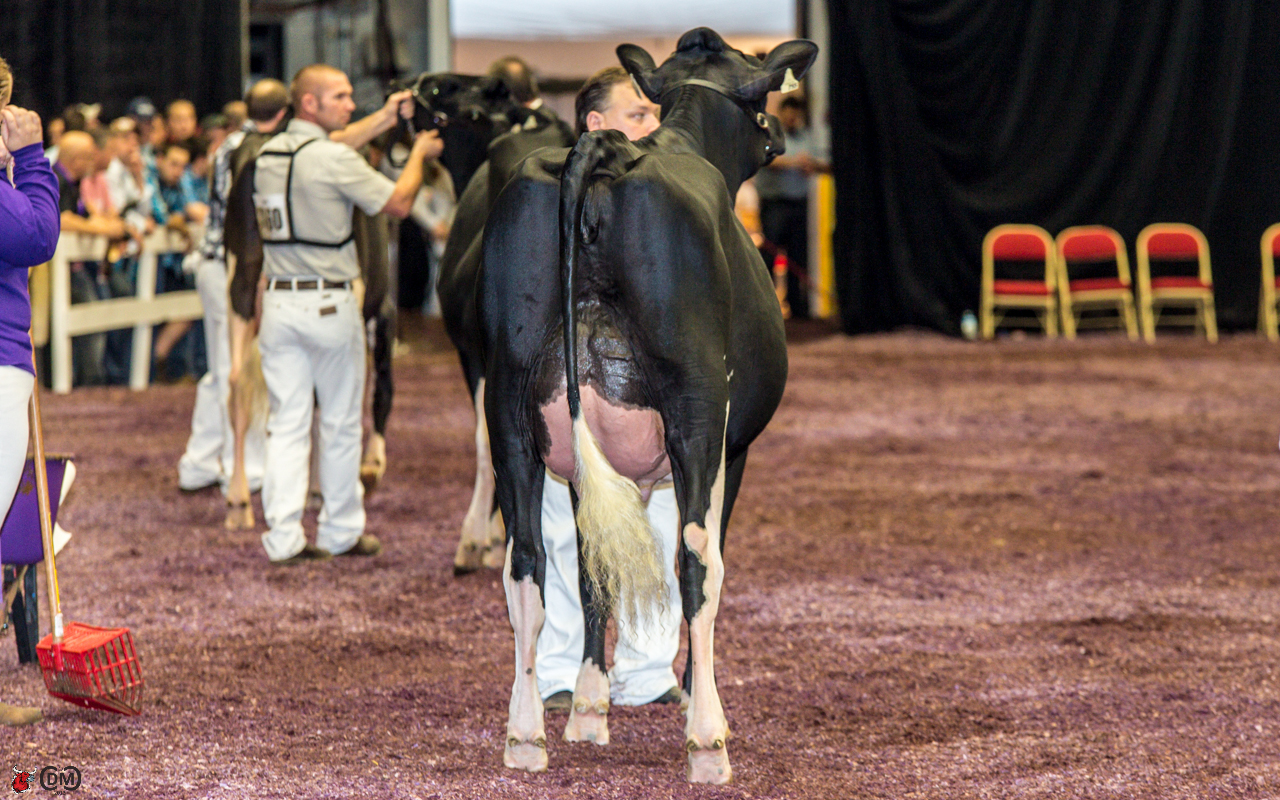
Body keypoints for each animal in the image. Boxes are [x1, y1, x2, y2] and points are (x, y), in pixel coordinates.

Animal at [475, 29, 816, 783]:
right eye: (762, 79)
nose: (781, 135)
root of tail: (604, 152)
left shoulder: (592, 466)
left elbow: (592, 570)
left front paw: (590, 708)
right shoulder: (731, 449)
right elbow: (696, 560)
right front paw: (680, 700)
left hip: (509, 409)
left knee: (528, 563)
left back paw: (526, 734)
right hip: (697, 407)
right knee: (696, 564)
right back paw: (708, 740)